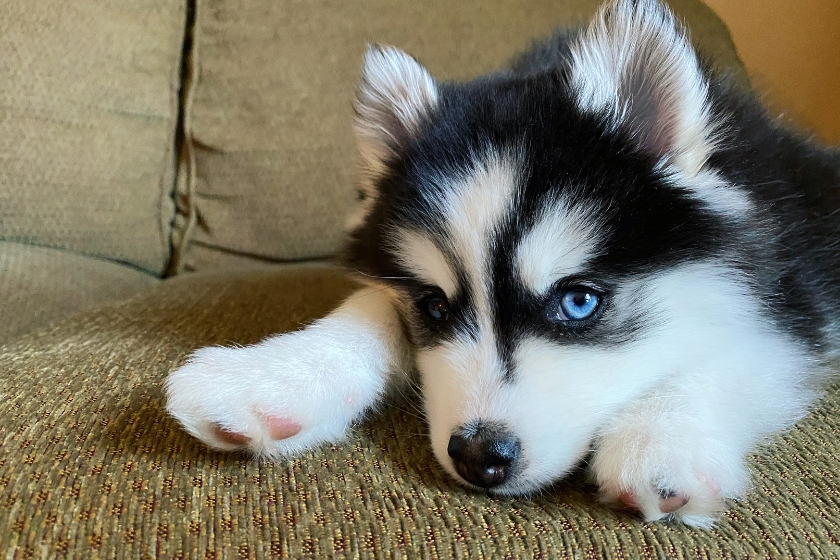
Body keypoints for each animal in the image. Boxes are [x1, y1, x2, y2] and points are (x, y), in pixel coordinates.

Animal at [166, 0, 840, 528]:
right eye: (434, 307)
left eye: (579, 301)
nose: (478, 456)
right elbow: (367, 305)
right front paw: (274, 377)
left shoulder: (795, 297)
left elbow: (737, 352)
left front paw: (662, 437)